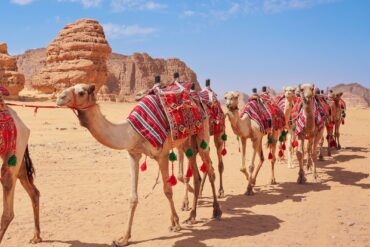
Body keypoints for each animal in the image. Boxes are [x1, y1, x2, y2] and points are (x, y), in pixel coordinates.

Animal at [56, 84, 221, 246]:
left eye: (81, 92)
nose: (59, 97)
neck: (132, 133)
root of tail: (198, 99)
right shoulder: (133, 154)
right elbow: (133, 198)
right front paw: (124, 238)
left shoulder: (162, 155)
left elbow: (167, 190)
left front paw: (176, 223)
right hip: (187, 141)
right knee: (196, 174)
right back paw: (192, 215)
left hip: (202, 132)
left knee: (210, 169)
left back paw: (216, 210)